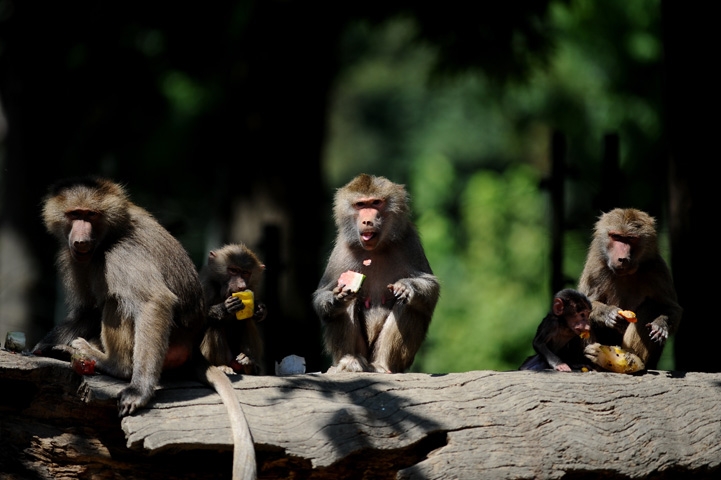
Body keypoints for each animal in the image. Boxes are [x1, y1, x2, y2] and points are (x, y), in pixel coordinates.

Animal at [35, 176, 258, 480]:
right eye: (74, 214)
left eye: (90, 215)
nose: (80, 240)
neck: (108, 235)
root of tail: (192, 349)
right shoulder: (75, 256)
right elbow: (88, 310)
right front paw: (43, 346)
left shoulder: (120, 252)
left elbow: (154, 301)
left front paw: (138, 391)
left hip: (169, 345)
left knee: (116, 301)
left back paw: (111, 363)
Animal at [200, 244, 268, 376]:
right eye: (233, 270)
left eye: (245, 273)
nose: (241, 286)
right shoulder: (205, 287)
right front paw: (224, 308)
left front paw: (260, 309)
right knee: (216, 325)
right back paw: (222, 366)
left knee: (246, 321)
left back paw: (248, 362)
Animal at [310, 173, 438, 376]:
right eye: (361, 205)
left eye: (376, 203)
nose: (367, 221)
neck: (376, 249)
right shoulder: (342, 248)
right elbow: (323, 293)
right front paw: (336, 298)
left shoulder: (409, 239)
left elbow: (430, 286)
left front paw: (407, 286)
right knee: (346, 306)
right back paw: (350, 362)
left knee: (409, 305)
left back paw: (382, 366)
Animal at [576, 208, 684, 370]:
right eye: (616, 237)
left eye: (631, 239)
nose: (622, 259)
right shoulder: (595, 268)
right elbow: (582, 302)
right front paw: (608, 313)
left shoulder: (658, 270)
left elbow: (672, 308)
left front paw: (661, 324)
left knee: (650, 306)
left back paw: (631, 360)